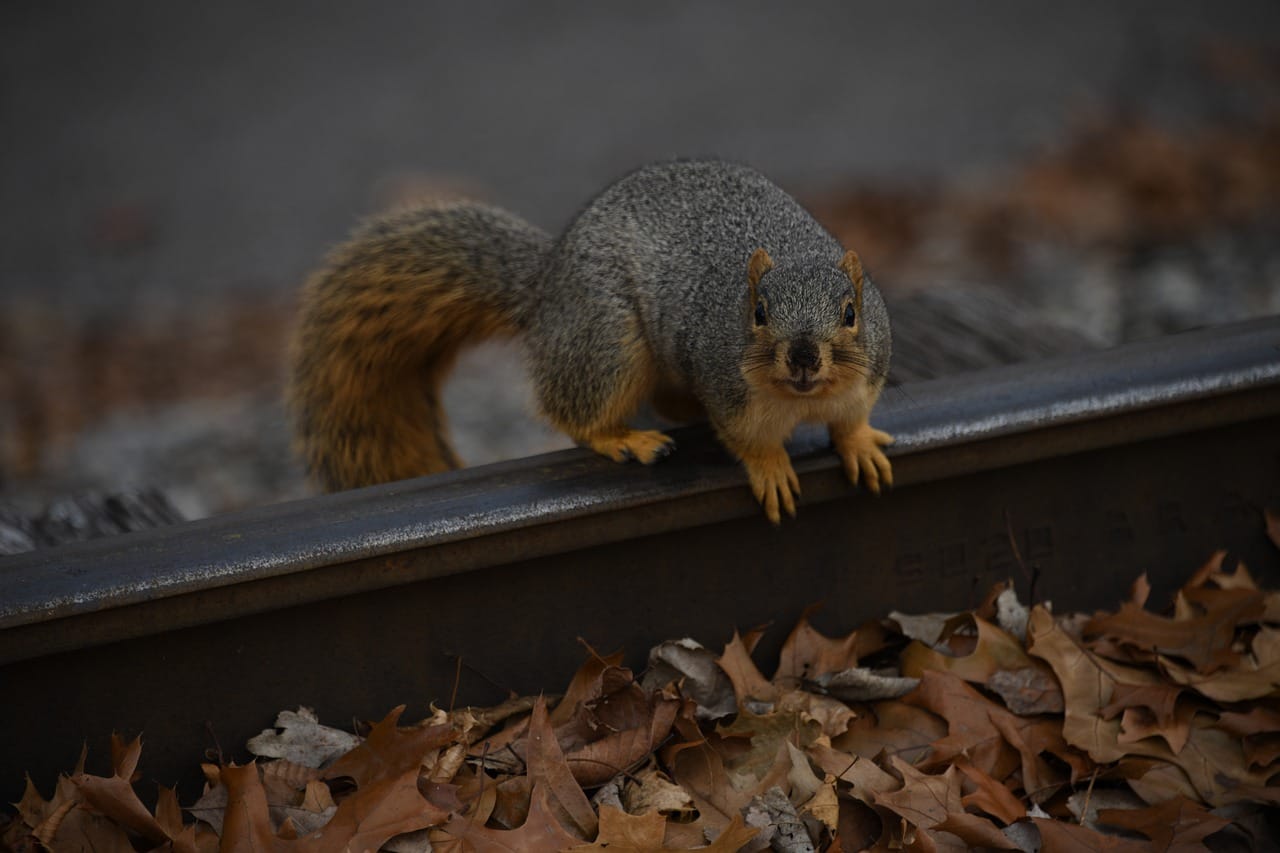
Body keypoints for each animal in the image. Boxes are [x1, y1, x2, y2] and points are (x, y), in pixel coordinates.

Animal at [288, 159, 893, 523]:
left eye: (851, 312)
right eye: (759, 313)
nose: (804, 356)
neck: (802, 398)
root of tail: (547, 287)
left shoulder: (864, 381)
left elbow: (850, 420)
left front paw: (861, 445)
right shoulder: (729, 391)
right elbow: (750, 441)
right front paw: (771, 469)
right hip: (607, 342)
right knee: (574, 410)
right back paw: (624, 439)